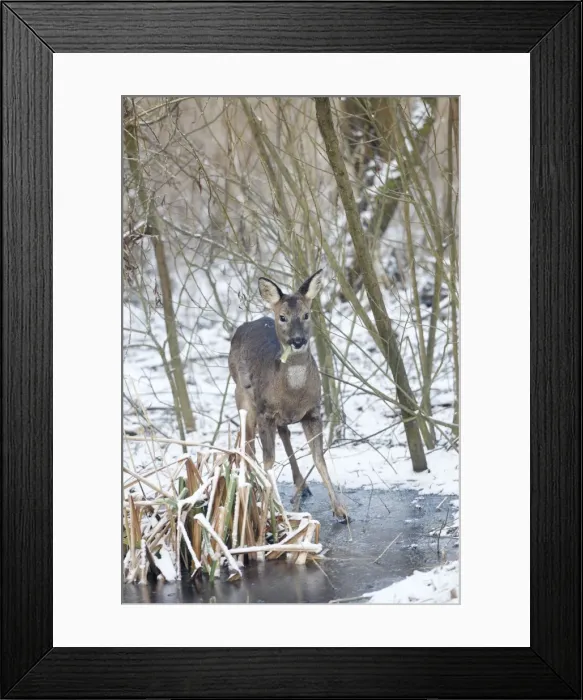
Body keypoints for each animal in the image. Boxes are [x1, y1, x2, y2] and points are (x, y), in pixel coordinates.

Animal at [228, 269, 348, 522]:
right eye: (282, 317)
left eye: (306, 314)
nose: (298, 341)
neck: (293, 393)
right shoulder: (265, 413)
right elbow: (269, 461)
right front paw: (275, 510)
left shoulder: (313, 411)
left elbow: (319, 459)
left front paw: (340, 510)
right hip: (242, 397)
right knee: (248, 445)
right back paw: (251, 489)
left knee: (284, 433)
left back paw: (302, 485)